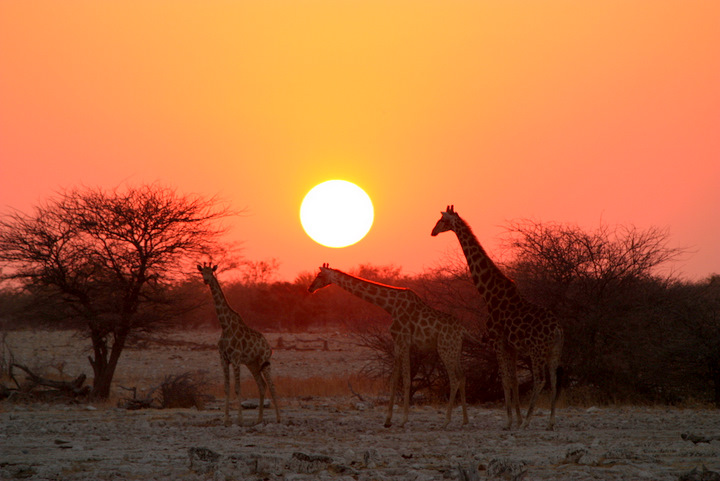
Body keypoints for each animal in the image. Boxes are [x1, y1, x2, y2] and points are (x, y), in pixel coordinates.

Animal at [197, 263, 281, 426]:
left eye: (211, 272)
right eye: (202, 272)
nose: (206, 280)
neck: (224, 325)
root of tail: (269, 347)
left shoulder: (235, 358)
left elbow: (237, 387)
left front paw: (240, 420)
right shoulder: (223, 359)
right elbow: (226, 388)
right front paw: (225, 419)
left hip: (264, 361)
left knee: (272, 385)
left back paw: (279, 418)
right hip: (252, 364)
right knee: (262, 385)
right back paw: (259, 419)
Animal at [308, 263, 468, 428]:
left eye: (320, 275)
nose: (310, 288)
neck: (390, 306)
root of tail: (462, 330)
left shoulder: (404, 341)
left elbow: (406, 379)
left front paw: (403, 419)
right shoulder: (397, 343)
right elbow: (394, 379)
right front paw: (388, 420)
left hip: (445, 349)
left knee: (454, 379)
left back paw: (447, 421)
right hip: (454, 349)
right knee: (462, 376)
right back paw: (465, 420)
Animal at [431, 206, 563, 430]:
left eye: (442, 220)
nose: (432, 232)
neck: (489, 294)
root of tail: (557, 329)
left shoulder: (497, 341)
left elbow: (505, 380)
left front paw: (510, 421)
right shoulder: (511, 346)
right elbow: (513, 380)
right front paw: (515, 418)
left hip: (537, 350)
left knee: (540, 380)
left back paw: (528, 421)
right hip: (554, 350)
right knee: (554, 380)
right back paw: (551, 421)